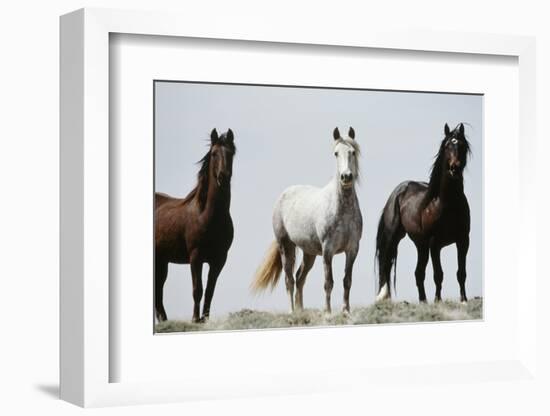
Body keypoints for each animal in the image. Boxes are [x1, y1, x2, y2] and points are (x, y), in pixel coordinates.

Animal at [154, 128, 236, 324]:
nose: (223, 177)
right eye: (214, 154)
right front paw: (194, 319)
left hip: (162, 260)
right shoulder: (195, 257)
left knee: (159, 289)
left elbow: (210, 291)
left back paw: (164, 321)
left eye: (231, 153)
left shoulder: (219, 259)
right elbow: (197, 289)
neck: (207, 216)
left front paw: (204, 319)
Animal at [252, 127, 364, 312]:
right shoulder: (328, 250)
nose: (346, 177)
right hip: (286, 246)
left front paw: (346, 311)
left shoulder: (352, 249)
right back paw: (292, 311)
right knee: (289, 279)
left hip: (309, 253)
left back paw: (300, 310)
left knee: (300, 277)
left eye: (353, 152)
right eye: (335, 153)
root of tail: (283, 195)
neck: (342, 210)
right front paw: (328, 312)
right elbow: (328, 282)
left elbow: (347, 281)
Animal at [378, 122, 472, 302]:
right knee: (386, 265)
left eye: (462, 145)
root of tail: (398, 192)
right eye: (447, 145)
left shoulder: (463, 240)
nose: (454, 168)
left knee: (418, 273)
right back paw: (384, 297)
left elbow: (461, 273)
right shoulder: (435, 244)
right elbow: (438, 274)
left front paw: (463, 299)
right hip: (395, 239)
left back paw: (423, 301)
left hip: (421, 245)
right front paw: (438, 301)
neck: (447, 204)